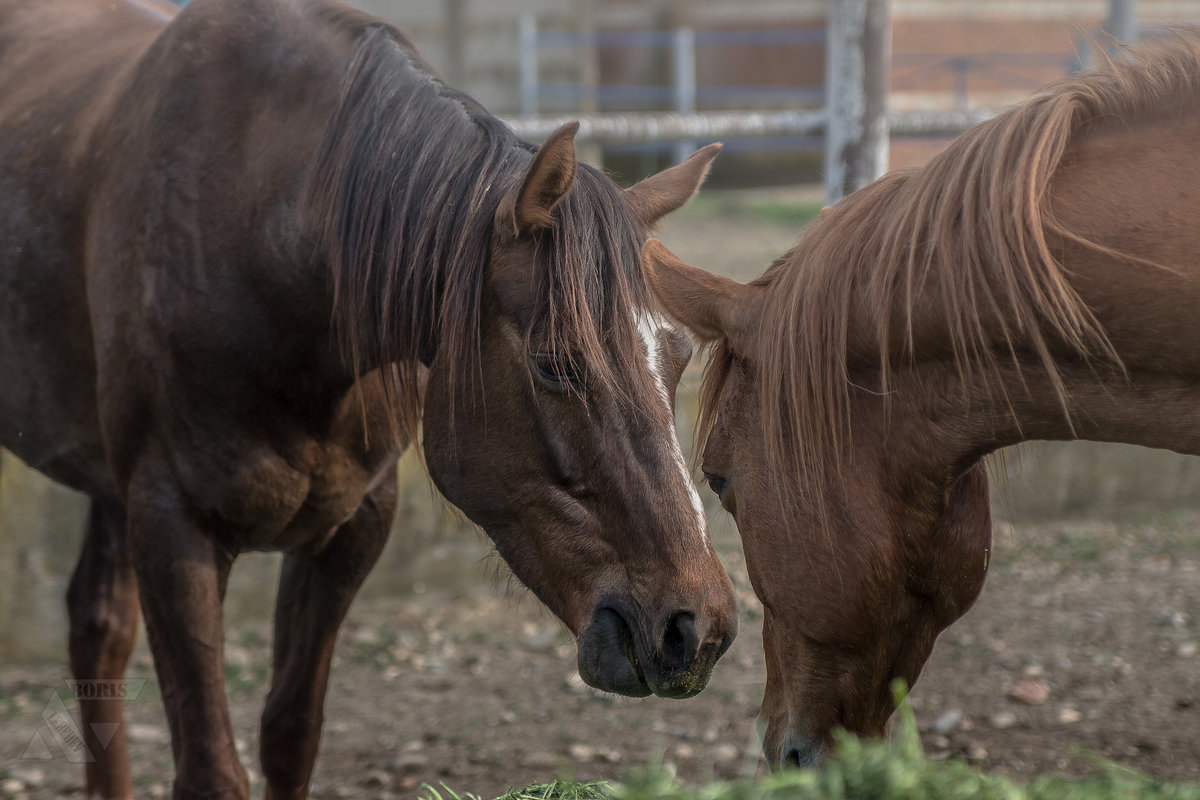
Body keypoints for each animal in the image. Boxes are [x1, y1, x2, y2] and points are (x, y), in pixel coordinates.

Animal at [0, 0, 734, 796]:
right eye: (552, 365)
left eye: (678, 355)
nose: (696, 628)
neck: (257, 238)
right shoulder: (173, 531)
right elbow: (212, 770)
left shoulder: (350, 531)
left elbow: (291, 734)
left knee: (97, 629)